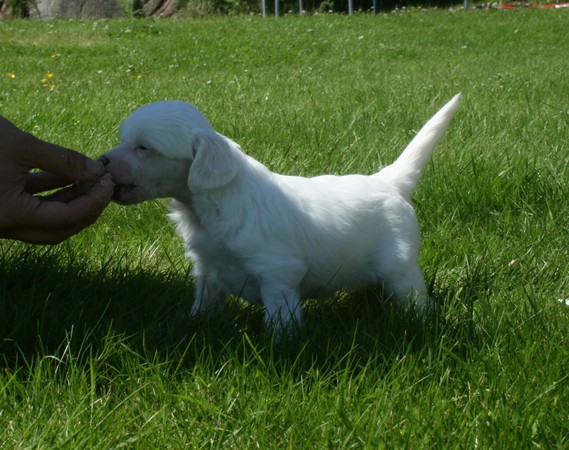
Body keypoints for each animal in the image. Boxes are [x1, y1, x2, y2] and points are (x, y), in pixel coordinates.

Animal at [101, 95, 460, 336]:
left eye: (144, 148)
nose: (103, 160)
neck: (214, 203)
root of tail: (388, 180)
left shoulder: (277, 273)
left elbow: (280, 316)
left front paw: (280, 344)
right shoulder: (207, 268)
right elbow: (204, 302)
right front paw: (193, 323)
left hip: (400, 266)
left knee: (414, 297)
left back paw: (419, 319)